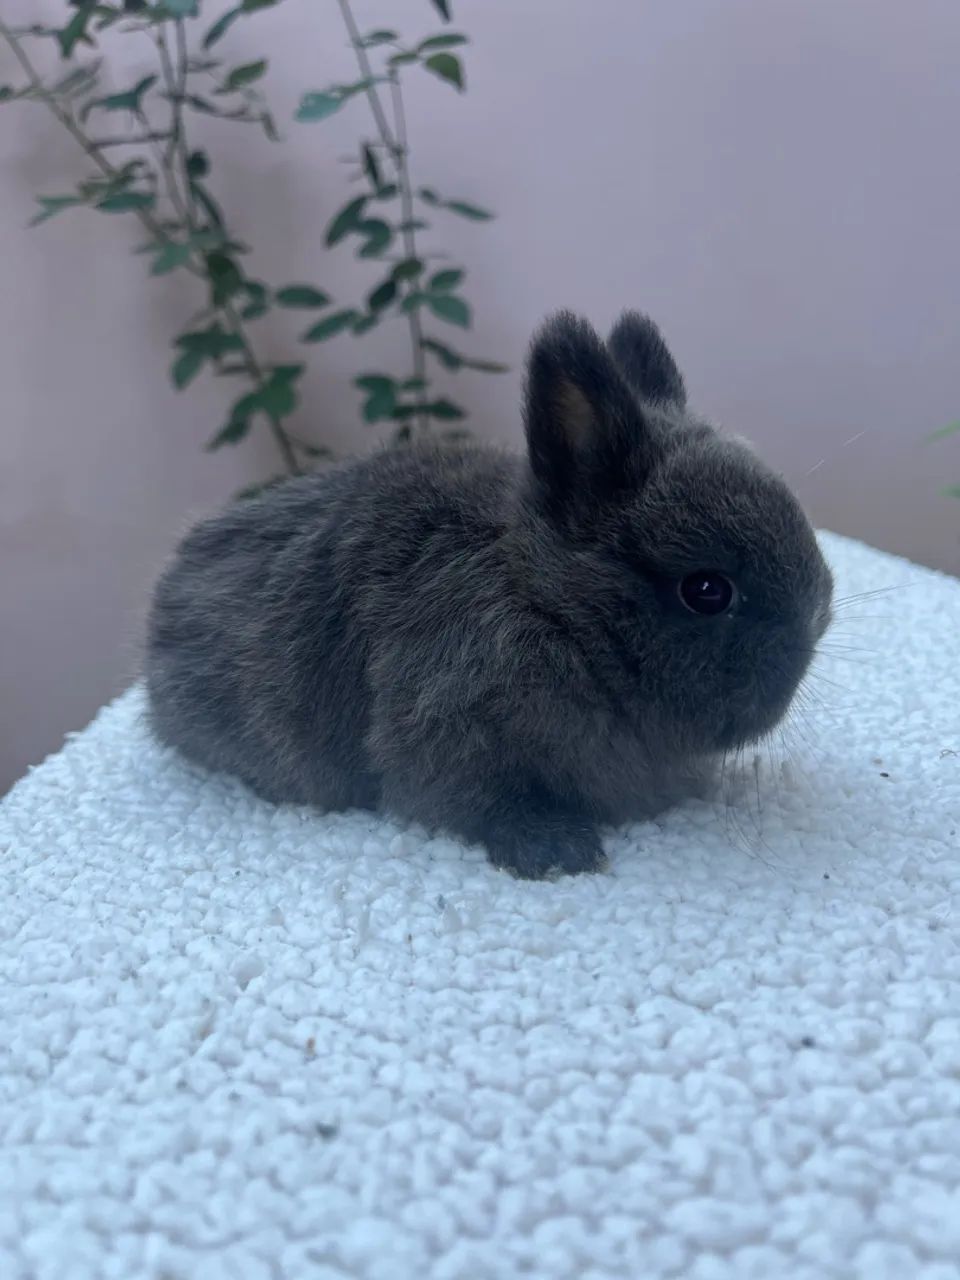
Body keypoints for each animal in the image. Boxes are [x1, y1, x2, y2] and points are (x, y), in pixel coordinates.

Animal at [146, 310, 834, 879]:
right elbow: (483, 802)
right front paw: (559, 851)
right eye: (707, 591)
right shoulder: (445, 733)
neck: (550, 607)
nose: (817, 621)